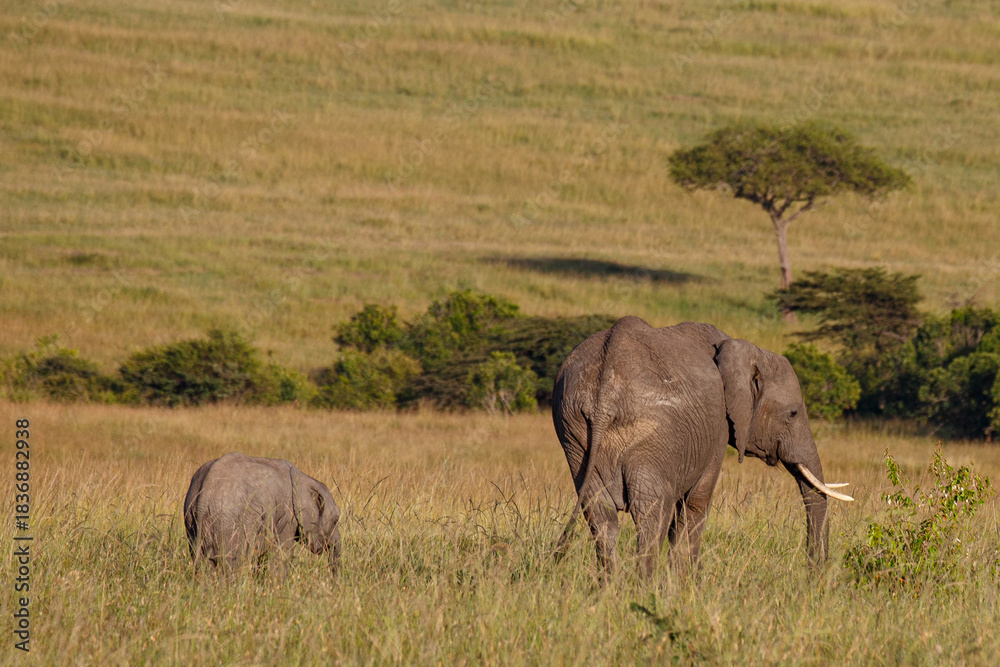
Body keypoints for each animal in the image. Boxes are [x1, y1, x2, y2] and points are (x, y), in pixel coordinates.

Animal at [183, 453, 342, 573]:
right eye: (335, 520)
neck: (304, 478)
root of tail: (204, 494)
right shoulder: (287, 515)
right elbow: (281, 552)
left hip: (192, 519)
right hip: (230, 522)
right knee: (230, 562)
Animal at [552, 316, 852, 575]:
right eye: (792, 414)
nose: (814, 574)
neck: (740, 348)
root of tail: (605, 390)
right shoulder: (717, 426)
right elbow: (696, 503)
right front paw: (688, 584)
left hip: (575, 434)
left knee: (601, 517)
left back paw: (610, 590)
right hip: (652, 435)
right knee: (650, 516)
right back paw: (645, 589)